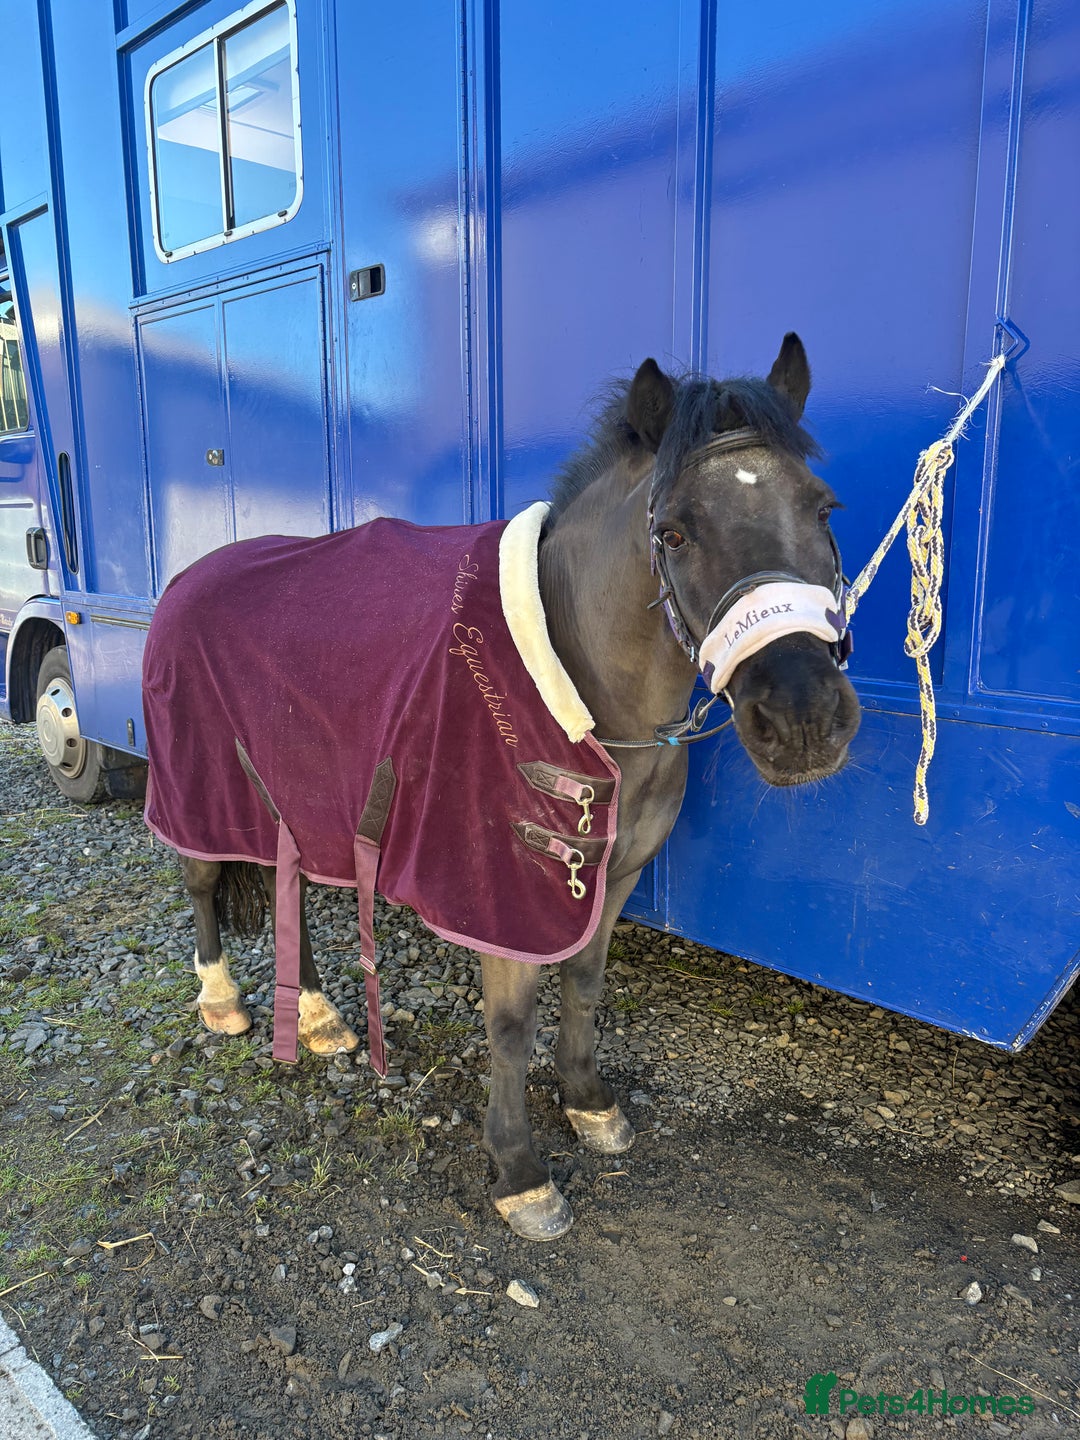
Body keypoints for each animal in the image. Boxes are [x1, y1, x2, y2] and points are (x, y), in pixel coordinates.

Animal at [142, 332, 860, 1241]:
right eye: (674, 531)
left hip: (293, 805)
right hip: (201, 793)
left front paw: (588, 1103)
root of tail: (187, 578)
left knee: (287, 887)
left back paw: (317, 1015)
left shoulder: (612, 878)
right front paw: (519, 1171)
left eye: (823, 509)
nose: (802, 718)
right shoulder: (500, 898)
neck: (583, 694)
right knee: (201, 881)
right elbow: (510, 1027)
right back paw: (223, 1000)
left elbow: (585, 985)